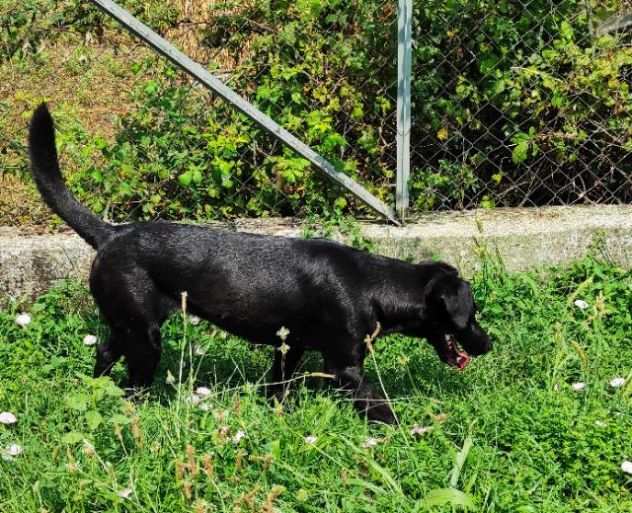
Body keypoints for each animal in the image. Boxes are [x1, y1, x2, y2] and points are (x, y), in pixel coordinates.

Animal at [27, 103, 492, 420]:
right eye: (470, 316)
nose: (489, 344)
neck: (372, 285)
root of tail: (112, 232)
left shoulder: (291, 348)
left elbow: (277, 389)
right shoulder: (344, 367)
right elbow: (381, 407)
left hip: (128, 326)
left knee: (105, 351)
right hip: (145, 336)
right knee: (132, 383)